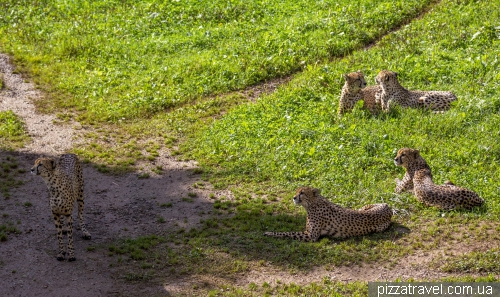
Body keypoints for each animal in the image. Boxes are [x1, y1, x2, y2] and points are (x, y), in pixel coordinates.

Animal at [264, 186, 392, 242]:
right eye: (297, 191)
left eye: (302, 193)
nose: (294, 198)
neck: (313, 203)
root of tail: (388, 207)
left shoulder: (311, 236)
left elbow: (287, 233)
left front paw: (269, 233)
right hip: (362, 208)